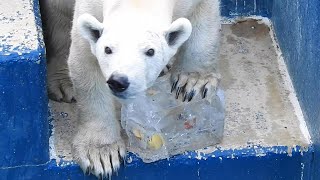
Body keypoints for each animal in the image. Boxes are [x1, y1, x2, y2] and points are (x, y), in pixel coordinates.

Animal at [40, 0, 220, 178]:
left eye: (150, 51)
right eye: (108, 49)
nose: (119, 81)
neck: (139, 4)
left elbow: (204, 19)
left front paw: (193, 82)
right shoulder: (89, 9)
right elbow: (86, 64)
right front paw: (101, 153)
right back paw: (63, 82)